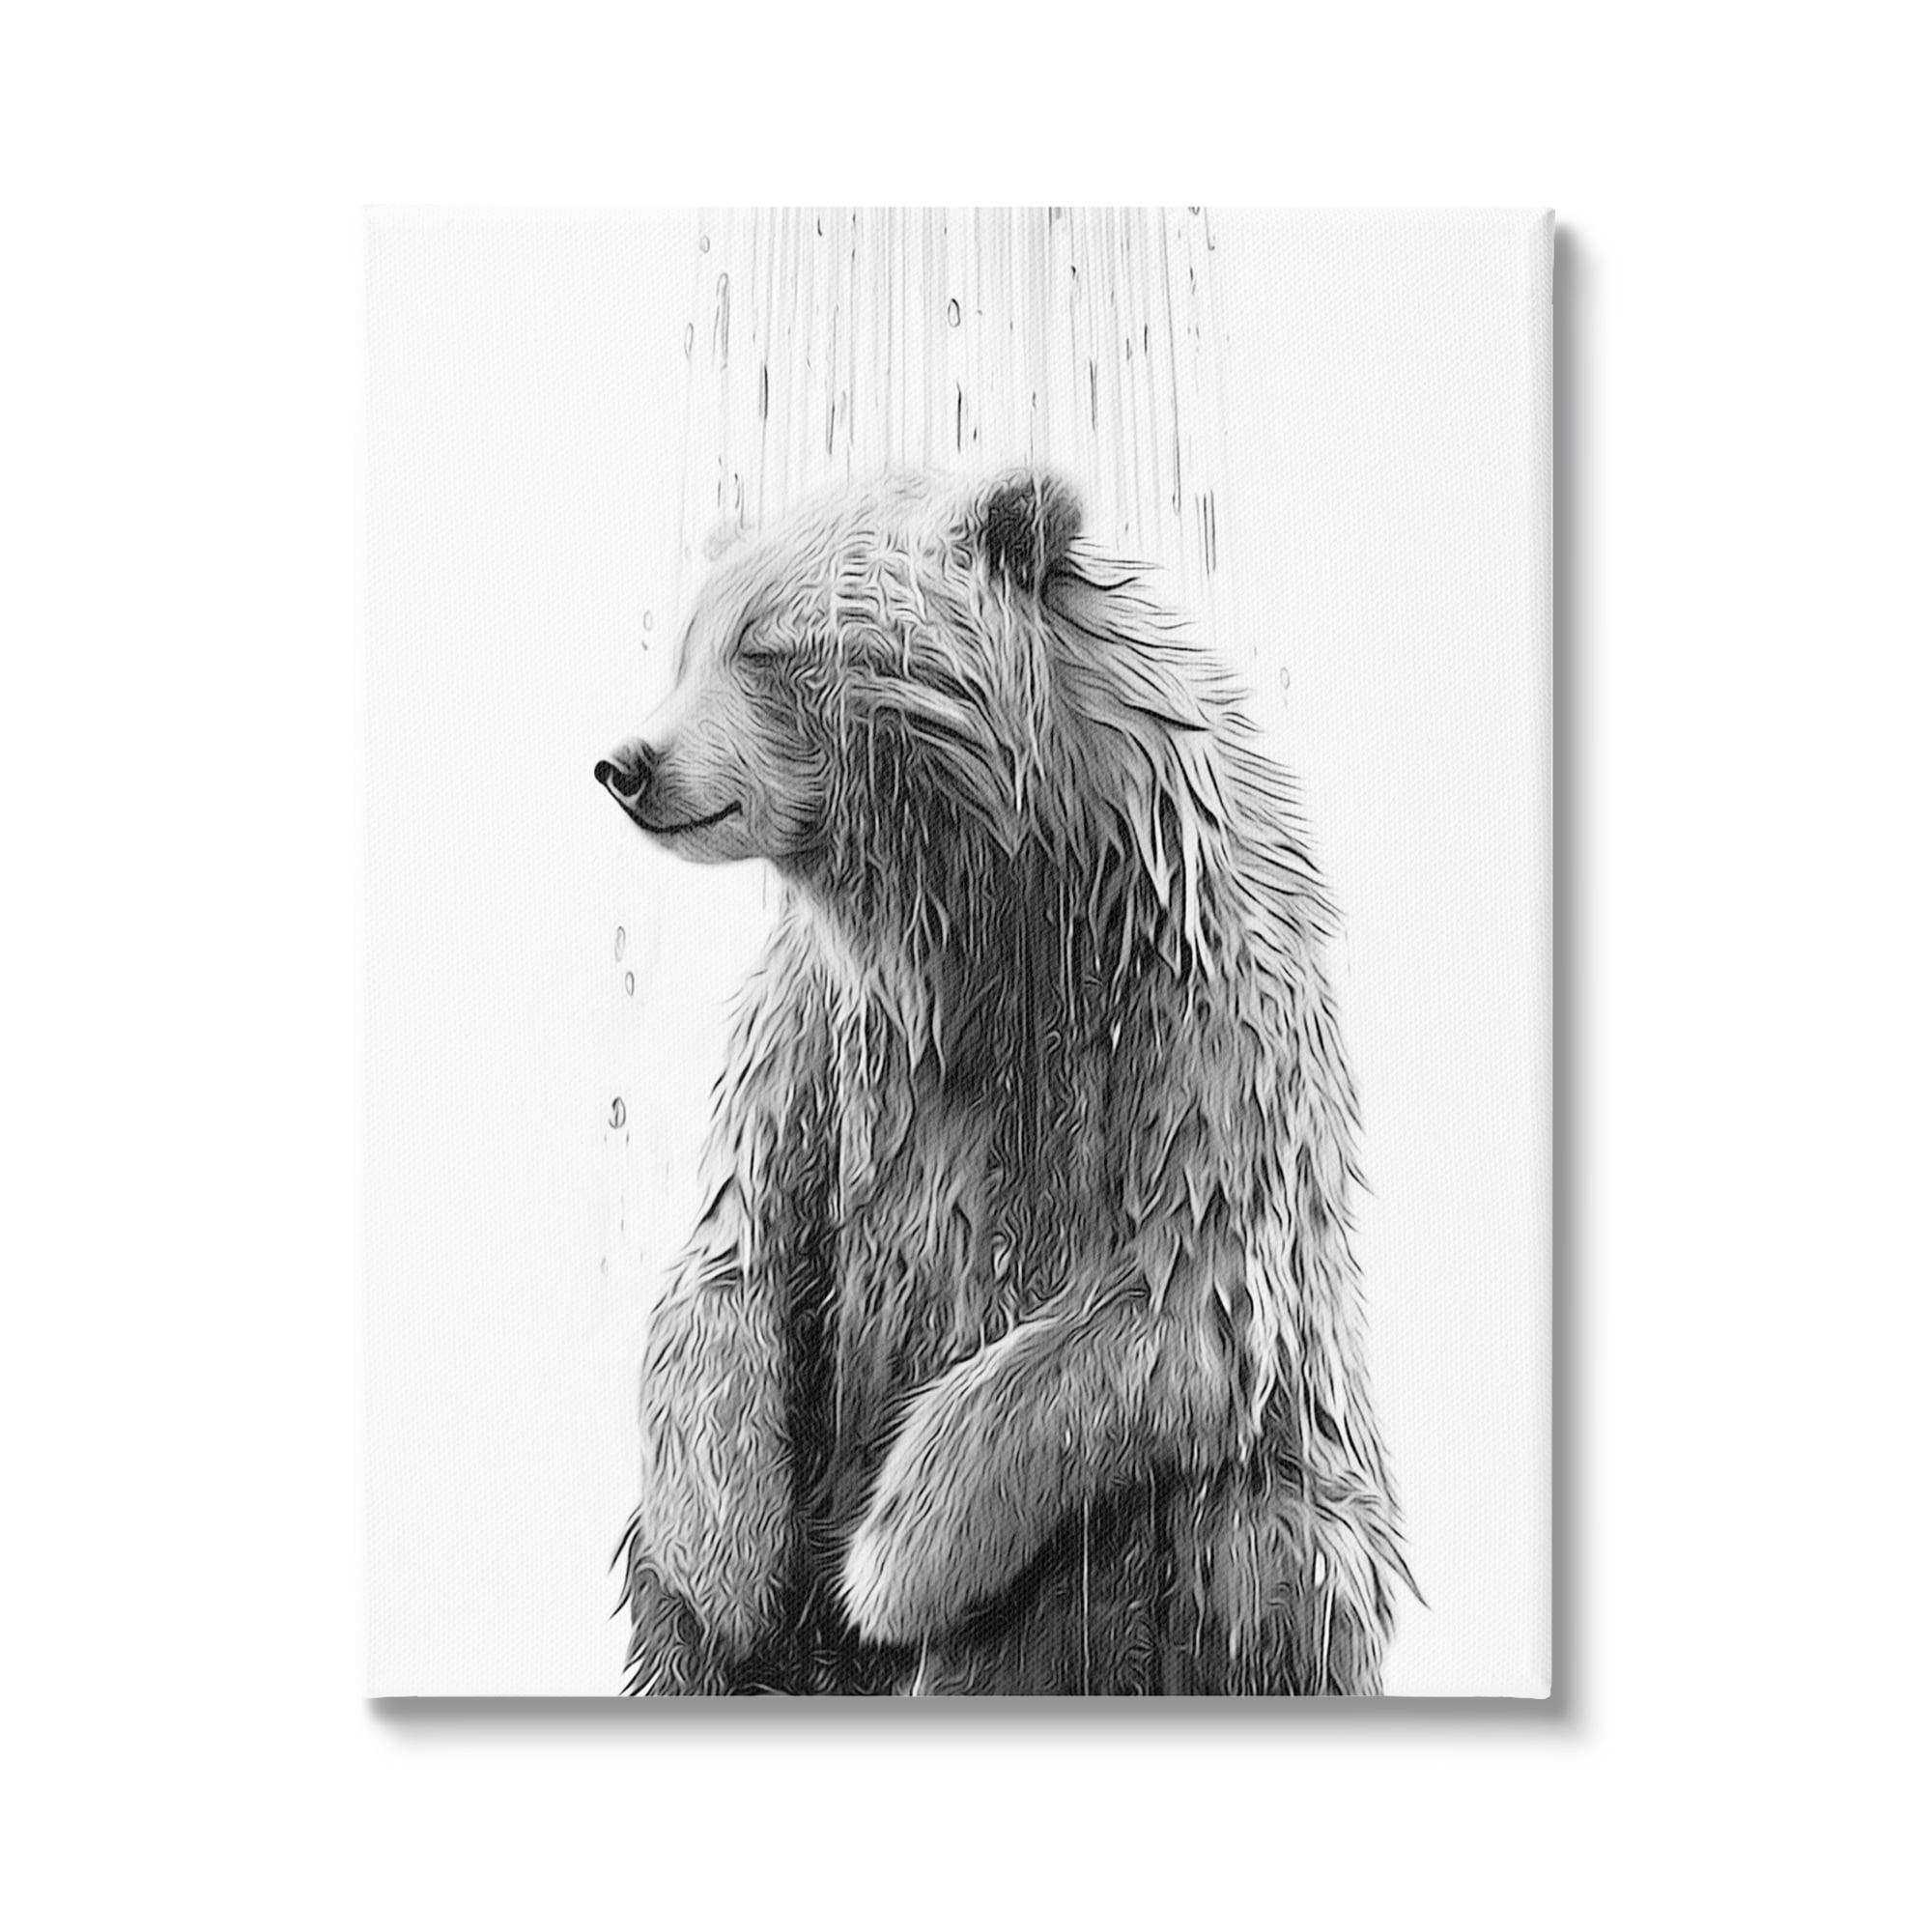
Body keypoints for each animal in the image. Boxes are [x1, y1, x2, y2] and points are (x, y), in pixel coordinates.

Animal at [598, 470, 1410, 1694]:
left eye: (766, 647)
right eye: (687, 644)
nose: (627, 763)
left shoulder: (1189, 1004)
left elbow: (1171, 1296)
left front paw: (887, 1562)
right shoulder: (826, 1032)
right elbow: (732, 1251)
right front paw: (735, 1566)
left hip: (1258, 1516)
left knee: (1250, 1552)